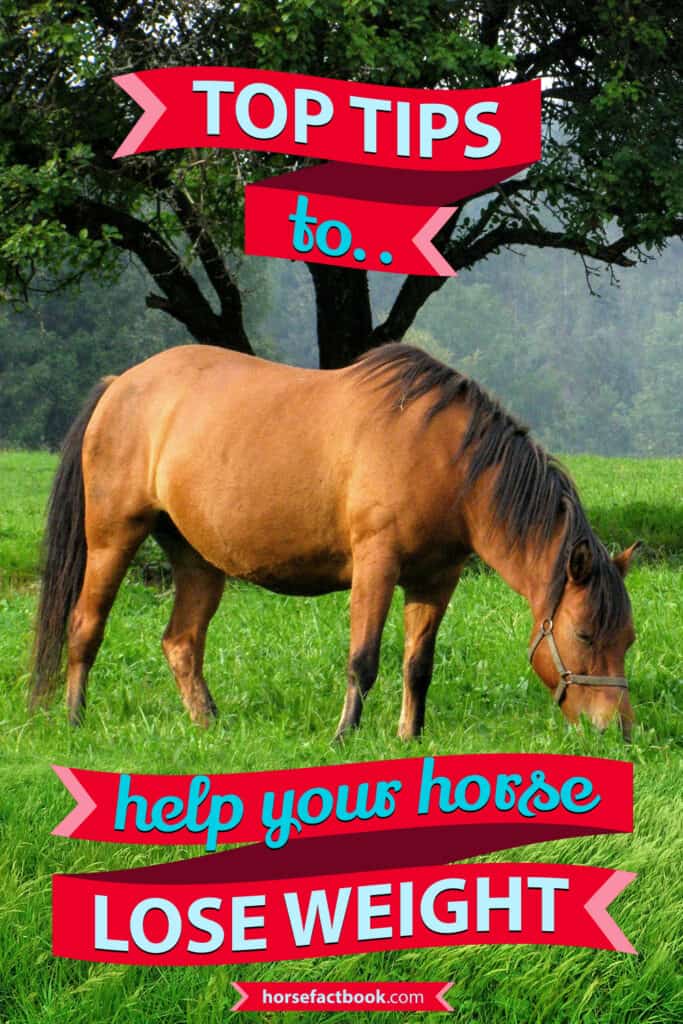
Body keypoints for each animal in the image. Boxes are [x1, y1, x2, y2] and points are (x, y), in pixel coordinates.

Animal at [30, 343, 639, 739]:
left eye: (628, 639)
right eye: (584, 634)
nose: (618, 729)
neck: (447, 460)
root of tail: (120, 384)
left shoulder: (436, 580)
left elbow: (418, 664)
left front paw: (410, 736)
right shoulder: (376, 565)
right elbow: (363, 659)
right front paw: (345, 736)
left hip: (198, 558)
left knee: (181, 643)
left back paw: (209, 726)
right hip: (113, 536)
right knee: (84, 627)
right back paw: (75, 721)